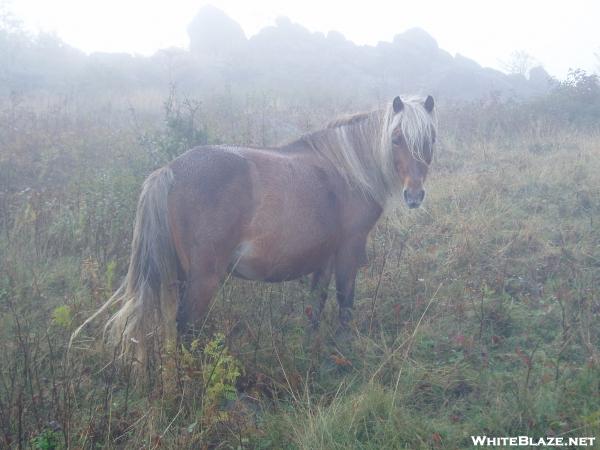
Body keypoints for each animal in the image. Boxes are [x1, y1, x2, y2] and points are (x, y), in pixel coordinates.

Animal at [71, 93, 436, 364]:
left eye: (430, 139)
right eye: (397, 138)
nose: (414, 195)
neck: (347, 170)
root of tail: (170, 170)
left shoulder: (325, 255)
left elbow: (316, 301)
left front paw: (311, 345)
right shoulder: (349, 247)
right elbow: (345, 300)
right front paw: (342, 350)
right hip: (203, 279)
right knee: (186, 327)